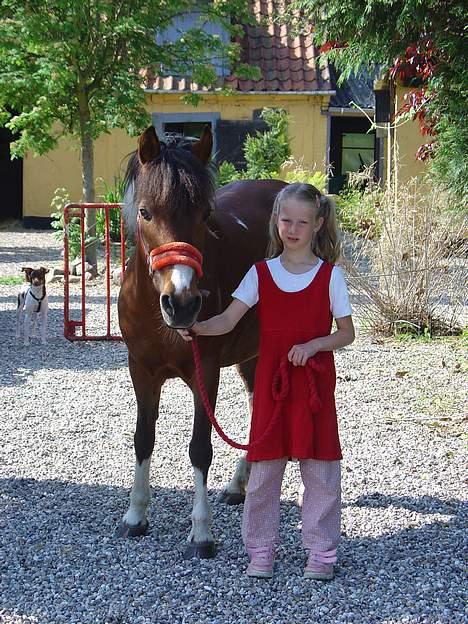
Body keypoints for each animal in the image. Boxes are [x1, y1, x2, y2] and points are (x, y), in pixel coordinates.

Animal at [117, 124, 286, 560]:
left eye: (205, 214)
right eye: (145, 212)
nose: (182, 303)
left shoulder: (204, 372)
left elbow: (200, 448)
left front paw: (202, 531)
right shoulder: (140, 371)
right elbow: (143, 438)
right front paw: (135, 515)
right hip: (250, 355)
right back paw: (239, 485)